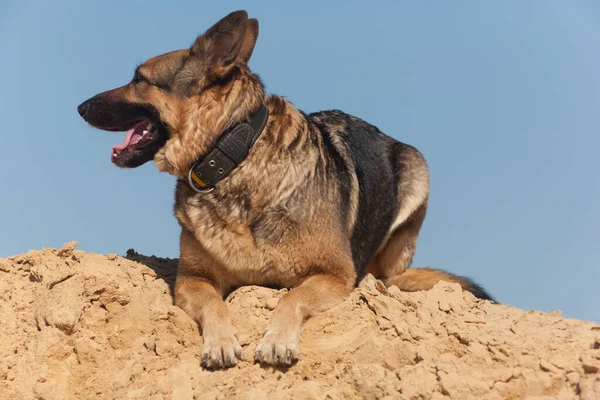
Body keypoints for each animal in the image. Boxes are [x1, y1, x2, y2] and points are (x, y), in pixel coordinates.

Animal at [78, 10, 492, 368]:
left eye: (139, 79)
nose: (80, 107)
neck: (234, 154)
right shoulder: (193, 280)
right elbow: (214, 304)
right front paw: (221, 342)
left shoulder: (335, 275)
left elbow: (292, 296)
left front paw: (277, 340)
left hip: (416, 175)